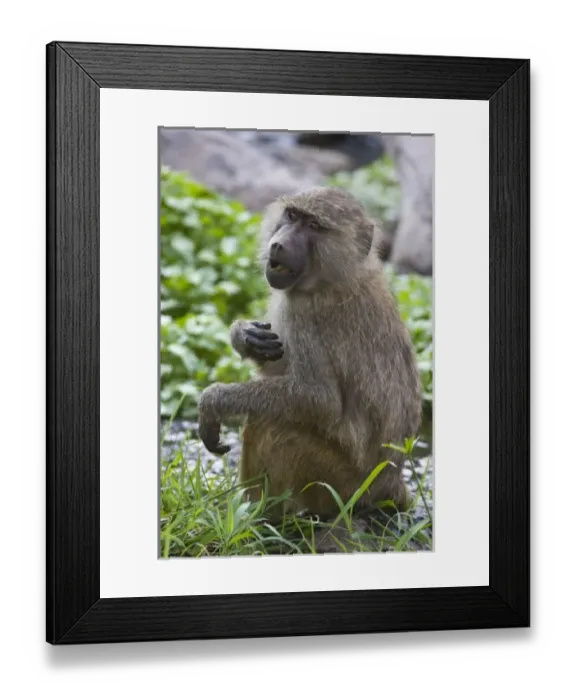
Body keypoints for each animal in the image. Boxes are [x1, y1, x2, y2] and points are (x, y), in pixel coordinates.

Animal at [197, 186, 422, 521]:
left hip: (342, 486)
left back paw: (258, 517)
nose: (278, 244)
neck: (336, 276)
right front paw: (244, 336)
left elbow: (318, 399)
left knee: (270, 425)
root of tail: (391, 483)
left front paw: (213, 400)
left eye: (314, 226)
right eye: (292, 216)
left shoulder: (304, 313)